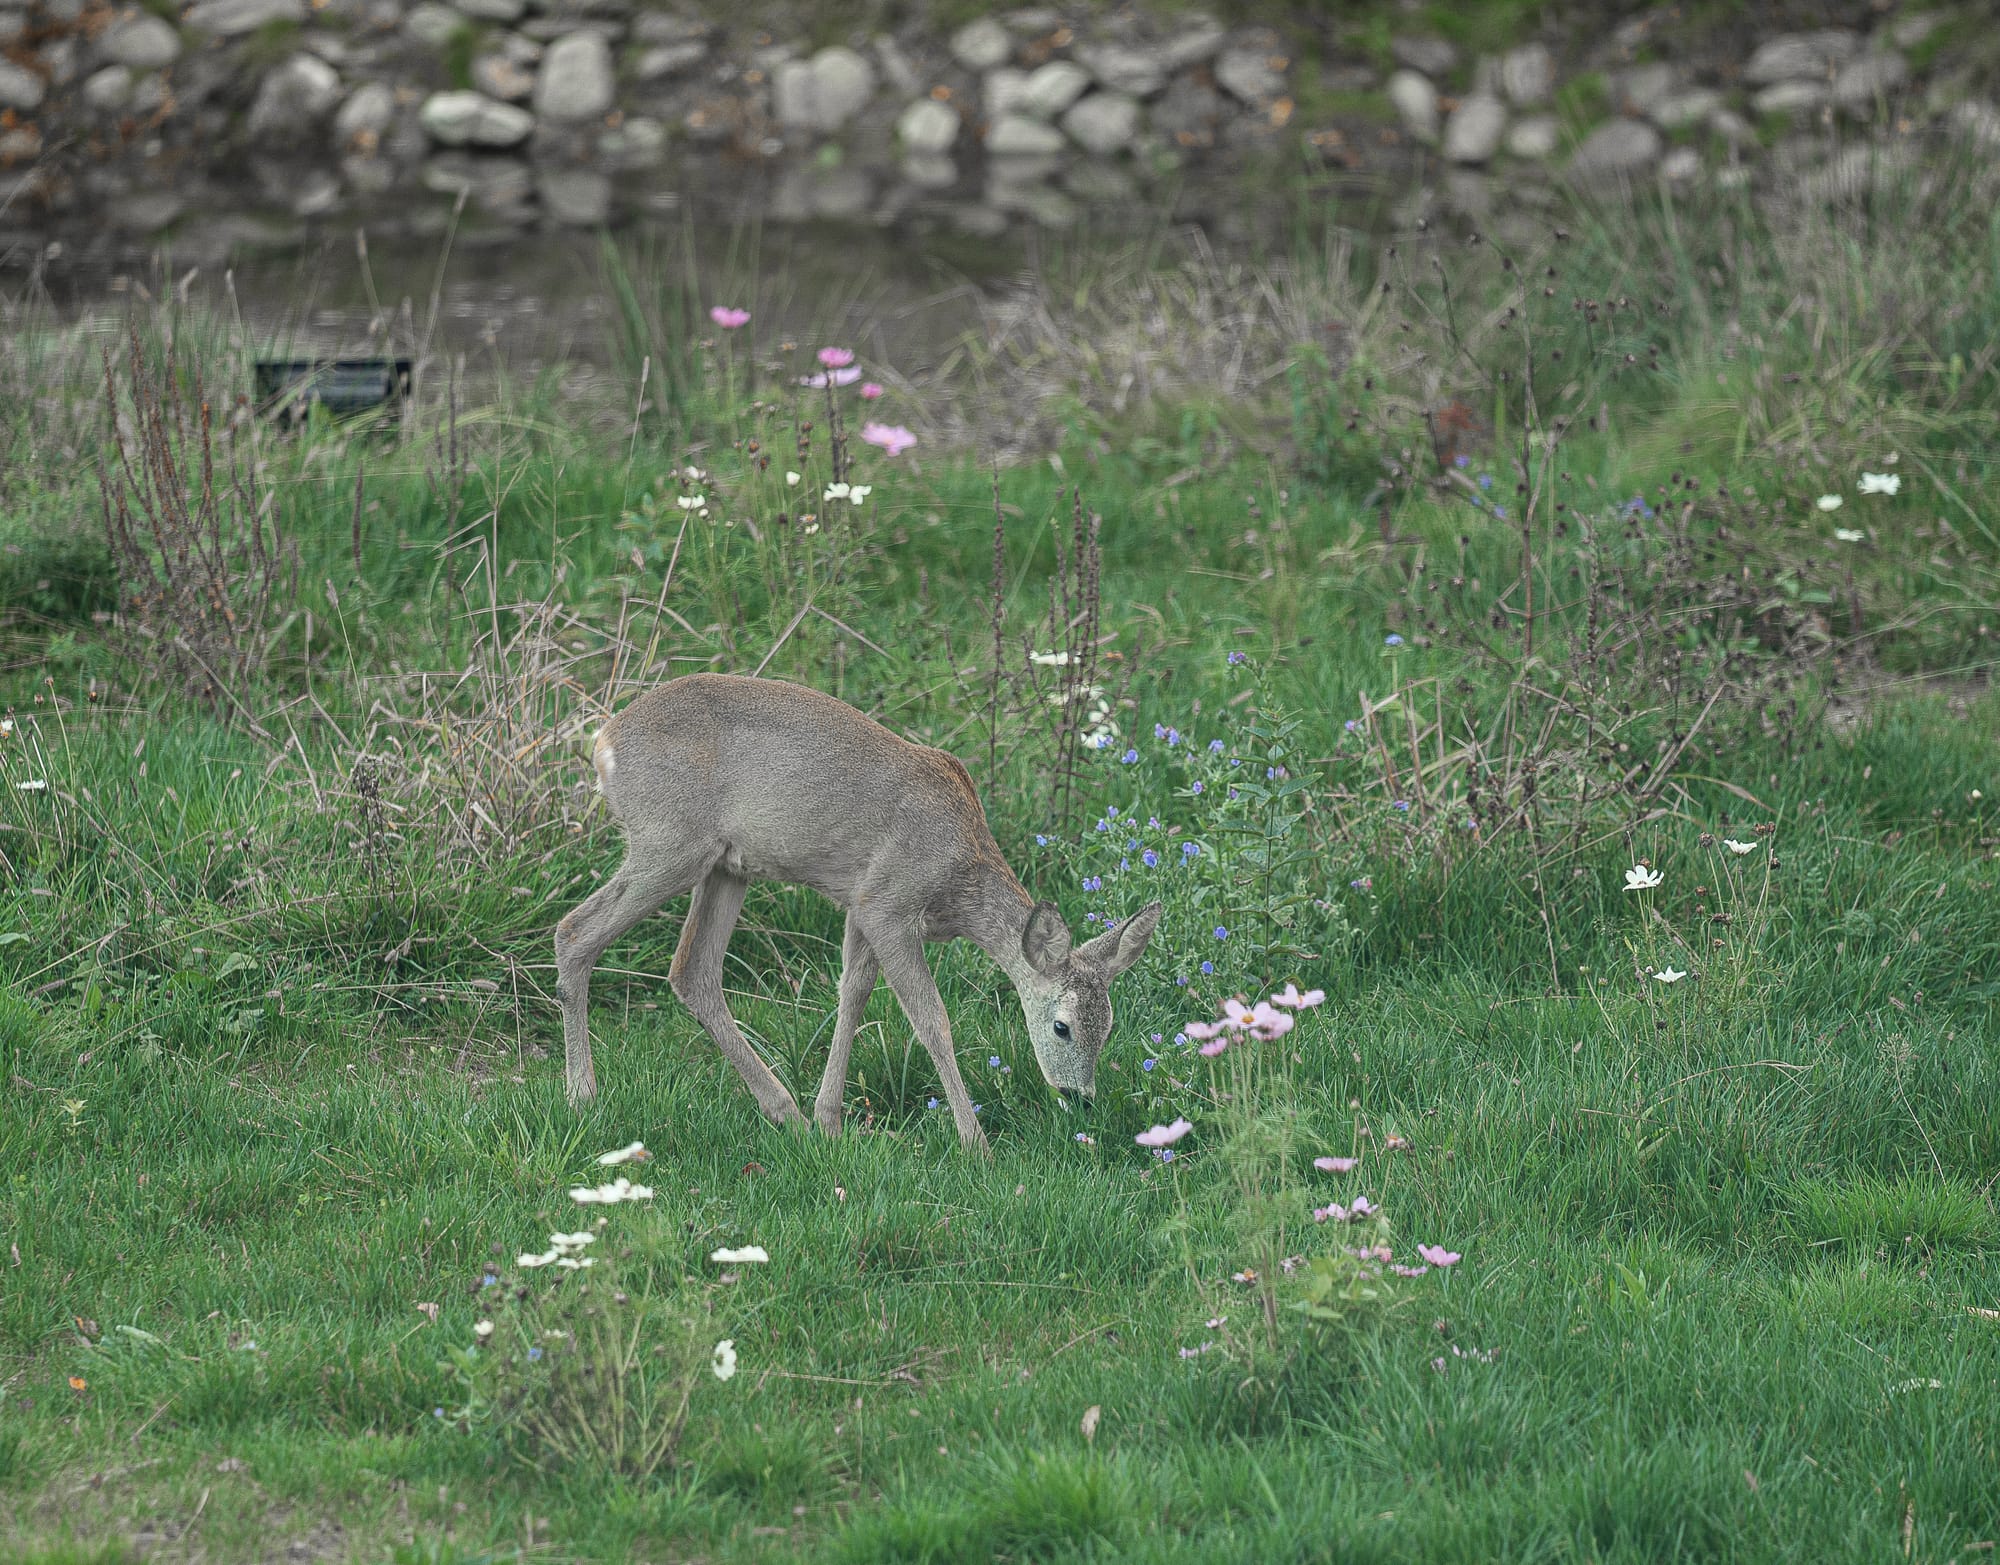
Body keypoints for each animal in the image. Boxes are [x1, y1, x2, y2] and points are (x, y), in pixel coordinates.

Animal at [556, 672, 1168, 1152]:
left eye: (1109, 1025)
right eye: (1062, 1026)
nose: (1080, 1099)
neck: (958, 878)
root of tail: (603, 741)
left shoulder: (859, 902)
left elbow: (852, 993)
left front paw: (829, 1120)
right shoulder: (890, 904)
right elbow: (931, 1019)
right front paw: (975, 1142)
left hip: (727, 867)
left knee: (693, 971)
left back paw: (786, 1113)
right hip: (669, 843)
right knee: (575, 931)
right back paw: (582, 1096)